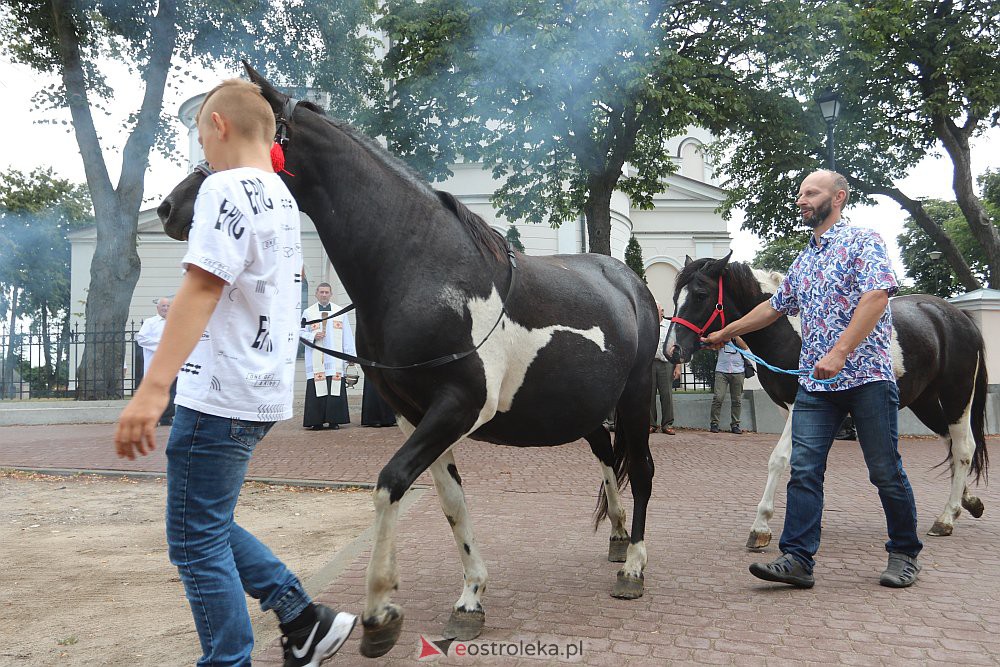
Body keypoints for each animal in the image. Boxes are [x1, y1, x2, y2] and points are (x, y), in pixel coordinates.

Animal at [156, 65, 656, 660]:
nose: (170, 208)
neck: (420, 266)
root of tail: (627, 281)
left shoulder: (458, 405)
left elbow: (391, 481)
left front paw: (378, 612)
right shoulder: (416, 414)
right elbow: (449, 501)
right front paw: (470, 598)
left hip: (635, 399)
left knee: (641, 470)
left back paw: (633, 567)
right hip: (582, 410)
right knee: (607, 460)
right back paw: (618, 537)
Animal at [668, 253, 988, 552]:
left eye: (700, 295)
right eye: (675, 297)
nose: (673, 349)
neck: (790, 334)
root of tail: (959, 317)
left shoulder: (800, 406)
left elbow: (779, 459)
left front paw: (760, 527)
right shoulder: (792, 410)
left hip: (956, 395)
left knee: (963, 447)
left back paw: (946, 518)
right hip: (924, 400)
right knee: (950, 441)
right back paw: (967, 501)